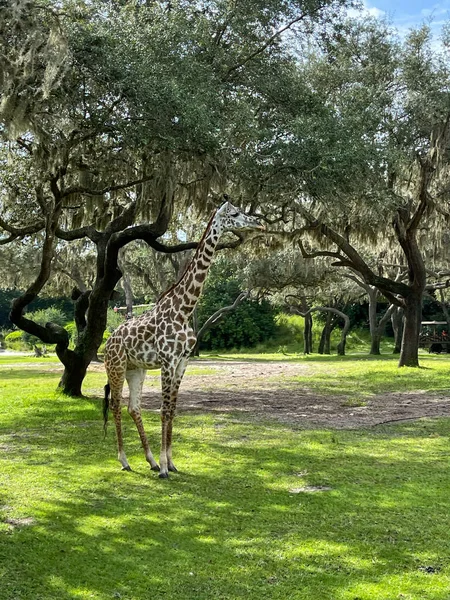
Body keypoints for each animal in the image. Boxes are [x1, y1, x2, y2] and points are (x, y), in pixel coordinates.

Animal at [103, 198, 264, 478]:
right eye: (234, 214)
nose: (259, 223)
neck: (184, 309)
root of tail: (108, 342)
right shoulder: (167, 360)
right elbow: (164, 410)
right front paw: (165, 469)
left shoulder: (182, 361)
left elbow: (173, 410)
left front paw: (169, 462)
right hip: (116, 367)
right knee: (115, 405)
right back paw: (124, 460)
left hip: (136, 370)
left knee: (133, 407)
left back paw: (150, 460)